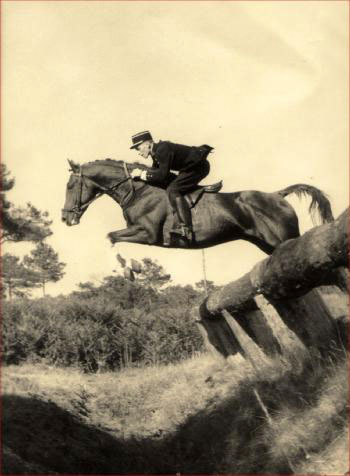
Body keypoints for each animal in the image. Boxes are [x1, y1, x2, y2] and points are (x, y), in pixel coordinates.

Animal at [62, 158, 334, 255]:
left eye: (69, 185)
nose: (65, 218)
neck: (137, 191)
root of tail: (278, 195)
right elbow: (112, 237)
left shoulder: (147, 234)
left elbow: (111, 236)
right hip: (268, 245)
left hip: (283, 239)